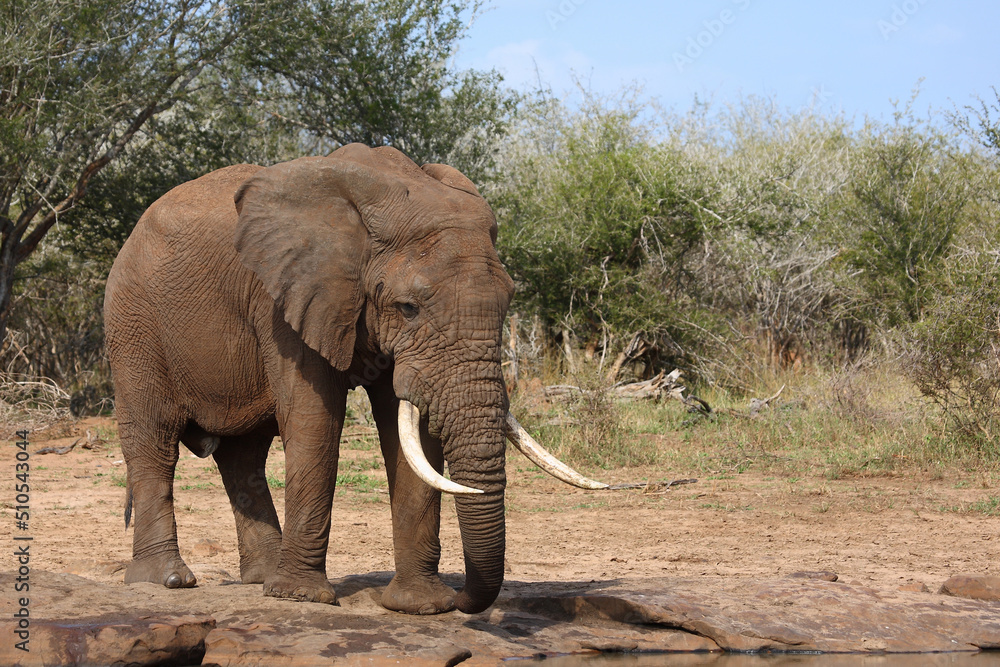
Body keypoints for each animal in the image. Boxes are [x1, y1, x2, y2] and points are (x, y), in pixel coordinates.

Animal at [103, 143, 606, 615]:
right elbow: (315, 421)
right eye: (408, 308)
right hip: (133, 325)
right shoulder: (285, 302)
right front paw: (302, 598)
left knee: (243, 456)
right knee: (153, 441)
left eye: (507, 303)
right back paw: (167, 580)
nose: (463, 598)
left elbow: (410, 428)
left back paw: (262, 578)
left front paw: (421, 606)